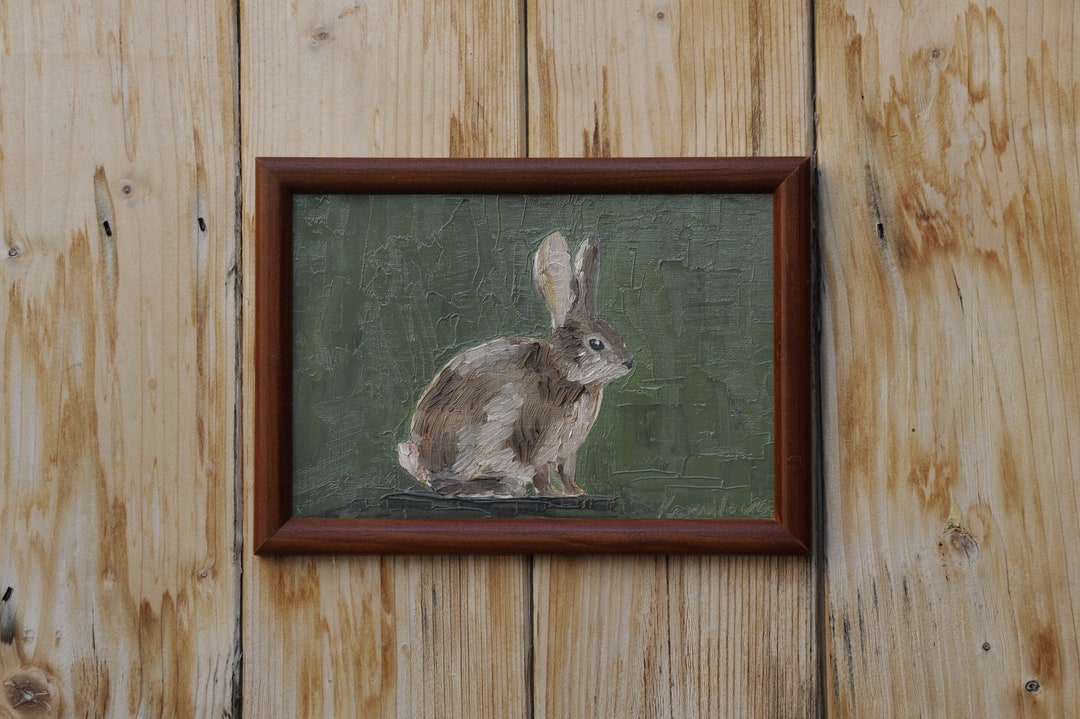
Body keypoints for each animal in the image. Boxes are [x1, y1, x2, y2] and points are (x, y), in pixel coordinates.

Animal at [396, 231, 634, 498]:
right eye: (596, 343)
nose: (629, 363)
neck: (566, 374)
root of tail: (422, 460)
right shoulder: (538, 444)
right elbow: (542, 473)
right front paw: (553, 493)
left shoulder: (568, 451)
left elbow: (566, 472)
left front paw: (576, 492)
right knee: (446, 485)